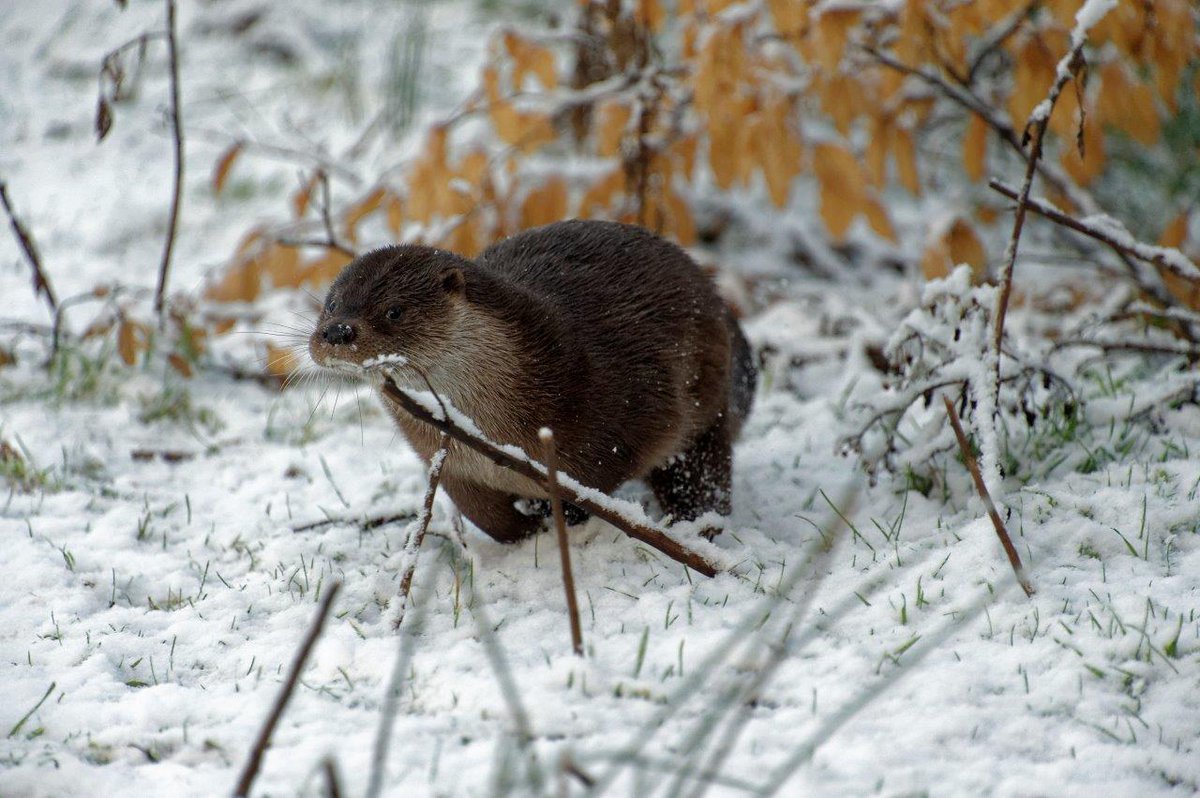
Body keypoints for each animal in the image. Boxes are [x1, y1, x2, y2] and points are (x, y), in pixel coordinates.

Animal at [309, 220, 755, 542]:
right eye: (331, 304)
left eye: (394, 311)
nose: (337, 331)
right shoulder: (453, 466)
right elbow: (487, 516)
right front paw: (529, 532)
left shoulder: (626, 409)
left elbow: (595, 482)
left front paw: (558, 516)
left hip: (707, 397)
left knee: (701, 473)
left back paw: (694, 526)